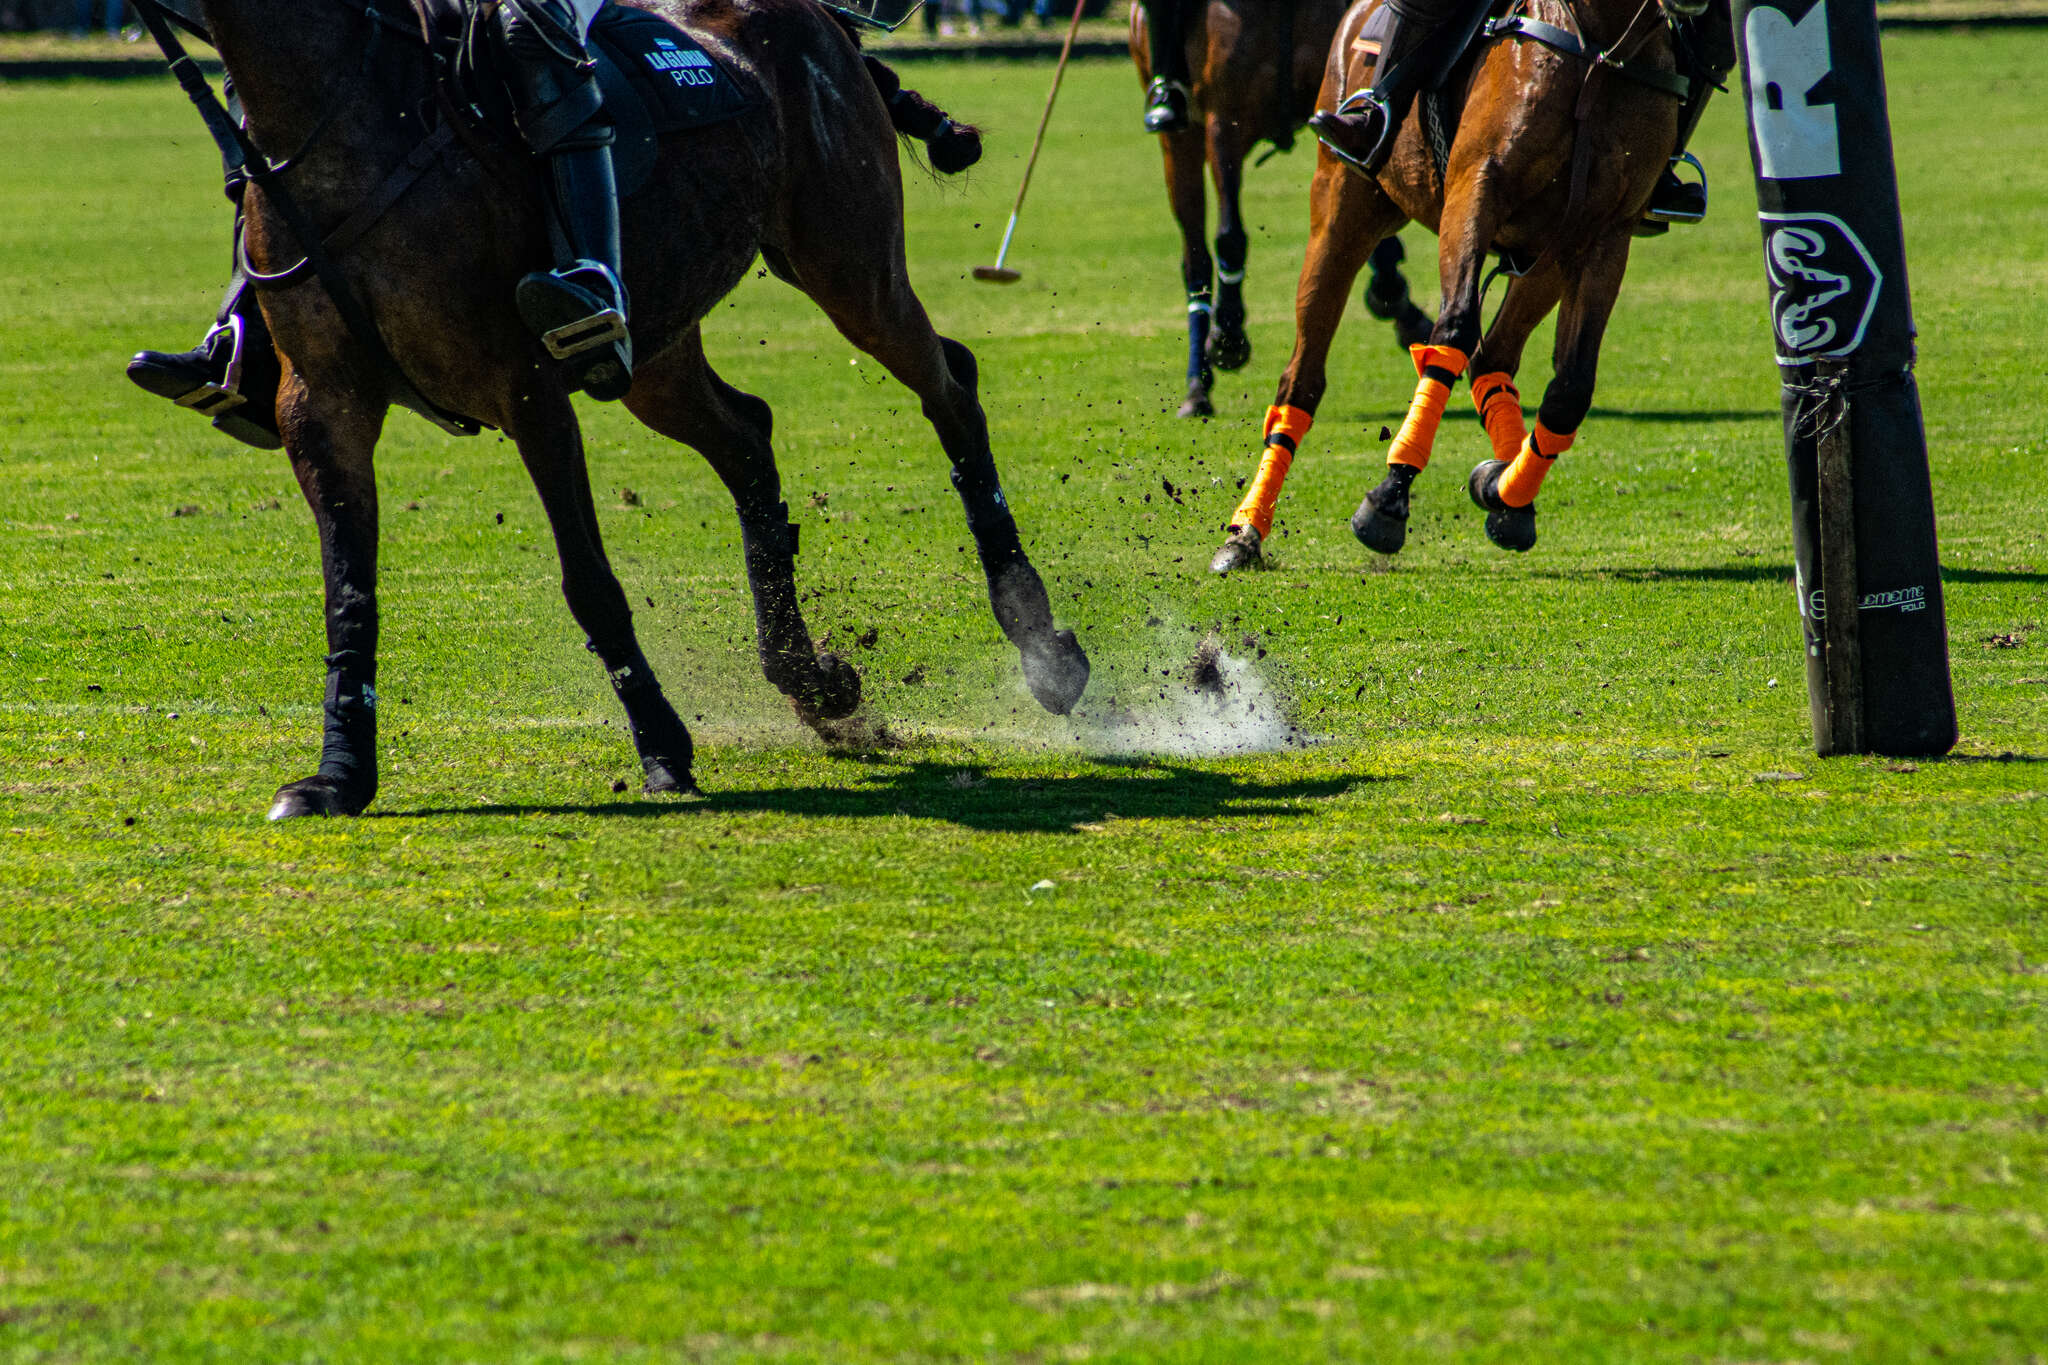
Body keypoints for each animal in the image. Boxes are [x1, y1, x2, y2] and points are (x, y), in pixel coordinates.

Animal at [171, 0, 1090, 818]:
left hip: (850, 261)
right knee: (748, 434)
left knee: (950, 386)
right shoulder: (321, 402)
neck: (337, 108)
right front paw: (337, 775)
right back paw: (812, 678)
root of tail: (825, 18)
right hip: (657, 340)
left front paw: (661, 749)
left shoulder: (526, 386)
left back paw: (1043, 647)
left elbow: (588, 580)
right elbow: (349, 591)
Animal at [1129, 0, 1433, 419]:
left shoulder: (1335, 97)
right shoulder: (1224, 120)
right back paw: (1197, 383)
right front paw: (1227, 335)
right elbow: (1230, 236)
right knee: (1195, 257)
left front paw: (1395, 297)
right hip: (1179, 139)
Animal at [1207, 0, 1711, 572]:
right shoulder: (1477, 186)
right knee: (1302, 377)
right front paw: (1390, 498)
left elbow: (1571, 388)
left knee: (1495, 357)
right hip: (1342, 208)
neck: (1601, 49)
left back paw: (1508, 490)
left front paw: (1500, 490)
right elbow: (1451, 332)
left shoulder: (1608, 231)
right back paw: (1244, 532)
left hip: (1549, 254)